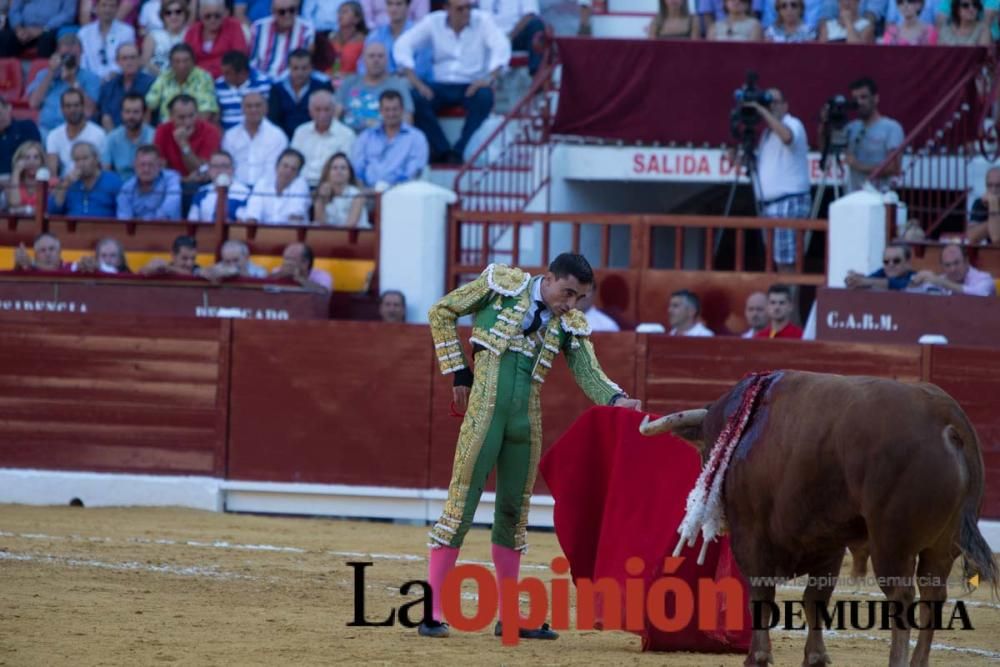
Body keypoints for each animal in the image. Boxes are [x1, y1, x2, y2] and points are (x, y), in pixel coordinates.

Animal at [636, 374, 996, 664]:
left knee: (902, 597)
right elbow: (815, 599)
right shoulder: (829, 545)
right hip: (942, 547)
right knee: (933, 595)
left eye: (708, 452)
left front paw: (757, 656)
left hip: (891, 542)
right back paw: (919, 661)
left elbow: (761, 595)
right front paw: (816, 656)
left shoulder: (750, 535)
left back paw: (899, 662)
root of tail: (945, 417)